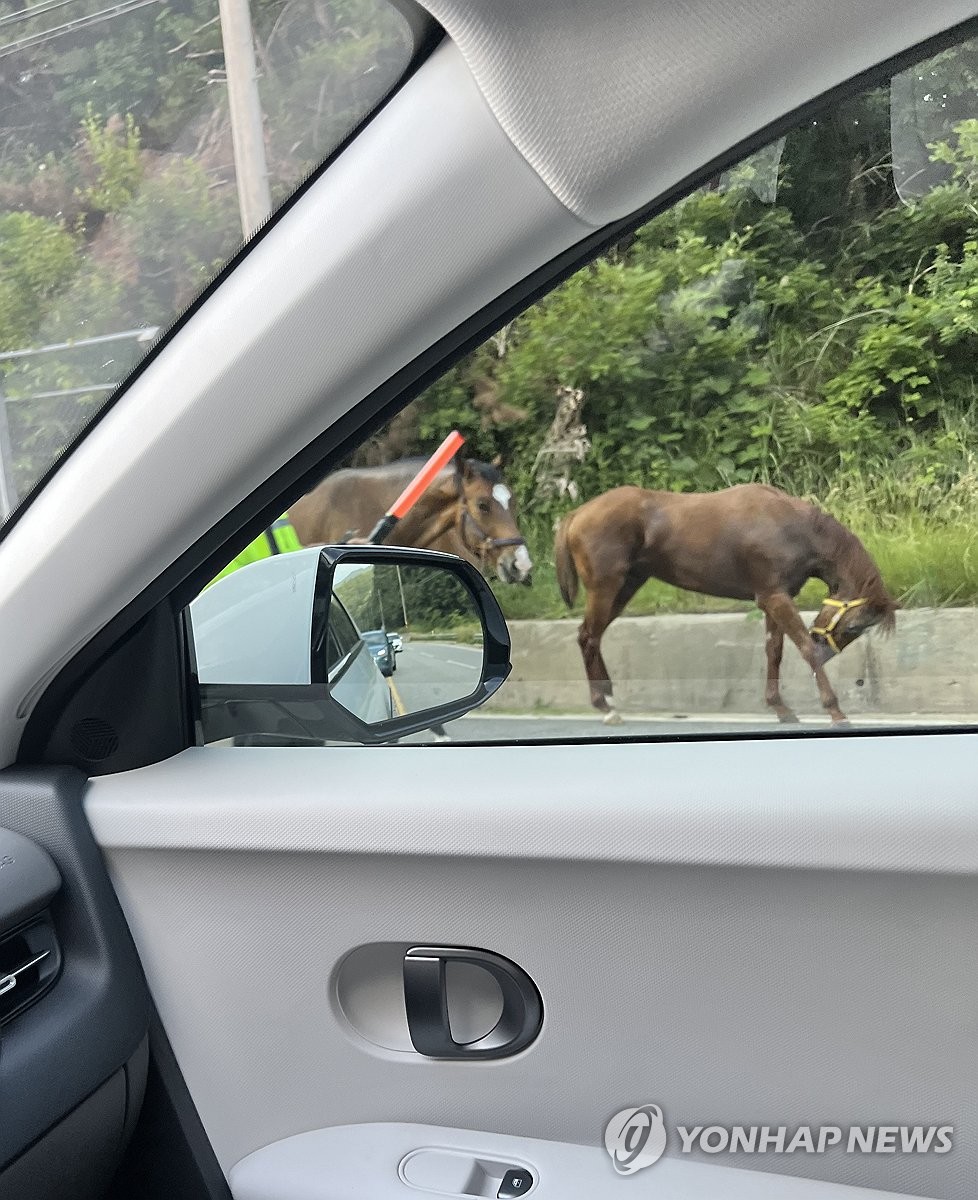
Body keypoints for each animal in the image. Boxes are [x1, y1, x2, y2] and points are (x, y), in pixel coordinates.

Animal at [554, 482, 897, 724]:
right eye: (853, 627)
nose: (827, 652)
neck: (791, 528)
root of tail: (575, 515)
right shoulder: (775, 597)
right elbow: (803, 649)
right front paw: (835, 711)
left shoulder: (773, 597)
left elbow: (774, 651)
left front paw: (780, 707)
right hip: (606, 588)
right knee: (588, 637)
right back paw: (605, 706)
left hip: (626, 588)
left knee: (591, 637)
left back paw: (608, 700)